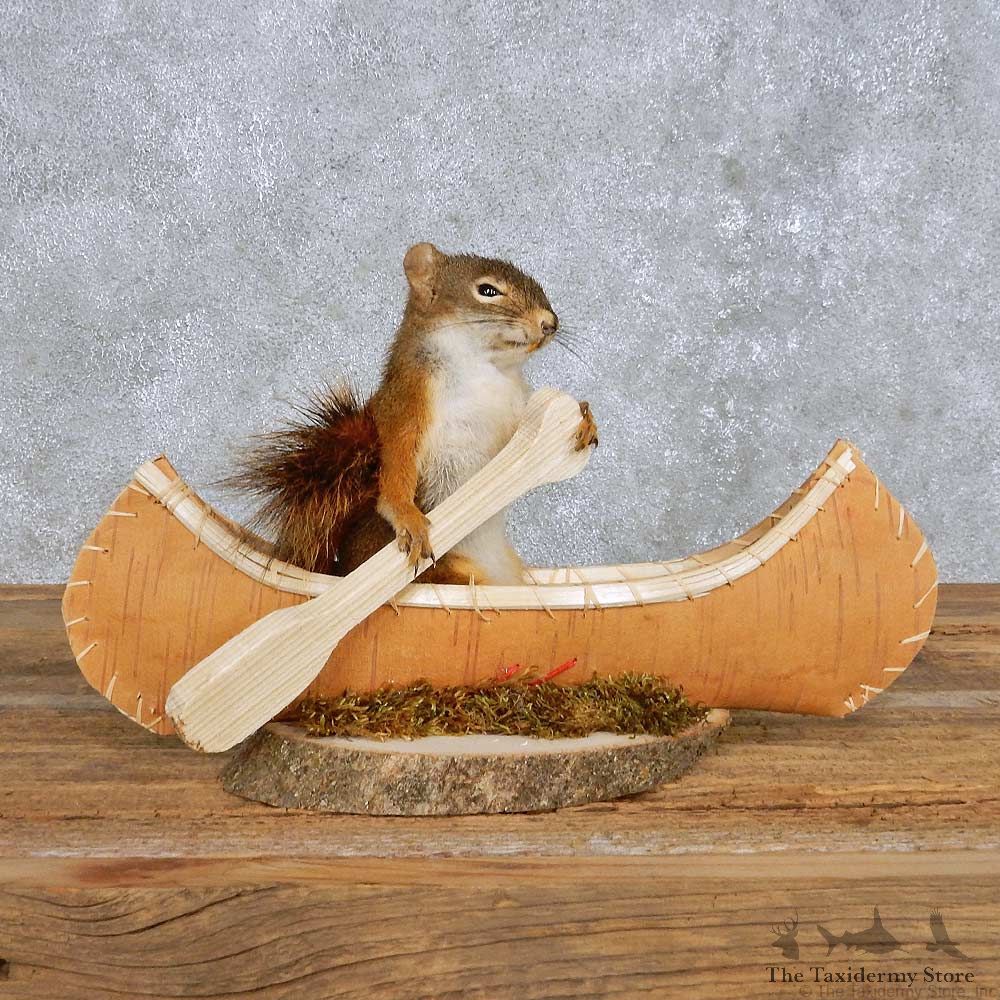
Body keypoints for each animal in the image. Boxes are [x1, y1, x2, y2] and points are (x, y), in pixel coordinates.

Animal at [225, 242, 598, 586]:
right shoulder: (408, 403)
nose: (550, 324)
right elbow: (398, 460)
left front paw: (583, 421)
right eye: (487, 290)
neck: (488, 370)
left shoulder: (516, 410)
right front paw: (407, 516)